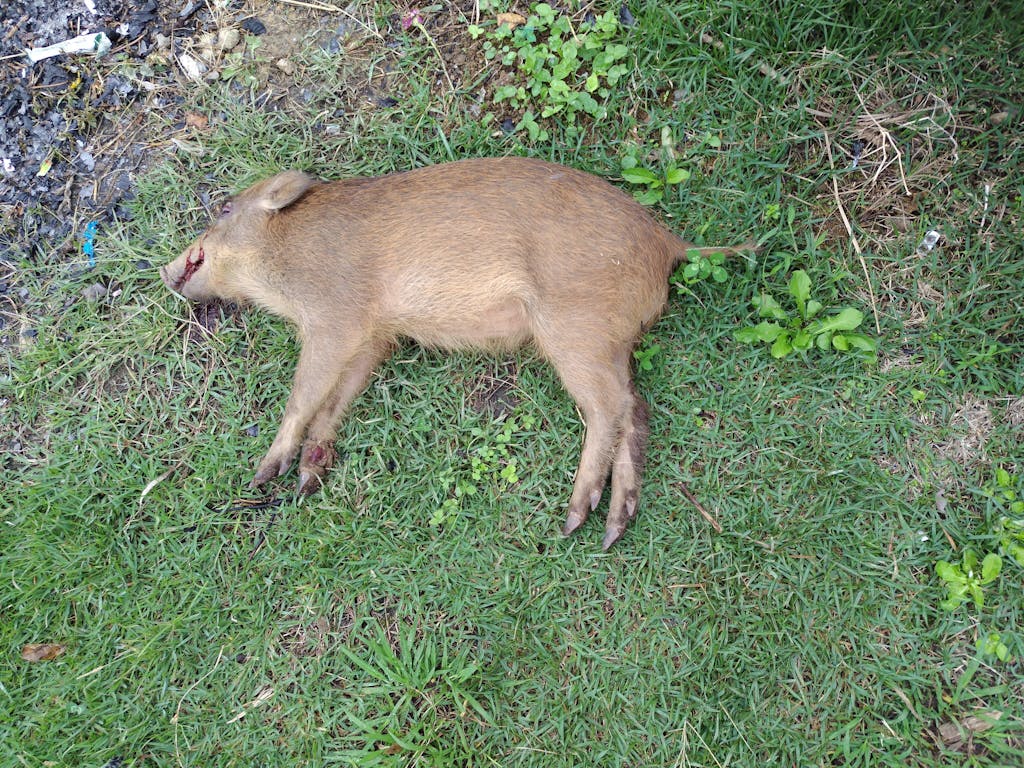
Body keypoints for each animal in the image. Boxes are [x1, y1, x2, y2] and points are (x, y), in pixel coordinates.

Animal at [160, 157, 754, 549]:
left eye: (225, 208)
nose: (166, 272)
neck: (286, 256)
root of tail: (671, 244)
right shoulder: (375, 337)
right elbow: (335, 400)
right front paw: (308, 480)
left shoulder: (335, 318)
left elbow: (304, 394)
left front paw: (262, 476)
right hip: (613, 341)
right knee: (637, 410)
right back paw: (611, 531)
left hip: (573, 327)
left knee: (610, 410)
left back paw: (570, 521)